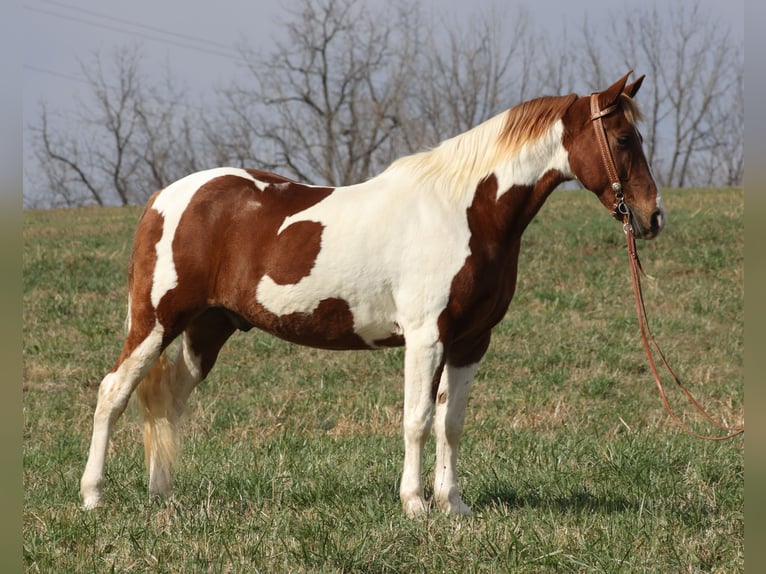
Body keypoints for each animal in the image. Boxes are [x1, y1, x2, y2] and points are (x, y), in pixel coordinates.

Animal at [79, 71, 664, 516]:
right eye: (623, 139)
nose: (652, 216)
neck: (467, 211)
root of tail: (164, 197)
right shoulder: (426, 339)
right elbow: (417, 420)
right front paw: (415, 505)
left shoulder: (471, 341)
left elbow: (451, 423)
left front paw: (453, 506)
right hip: (156, 322)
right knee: (114, 391)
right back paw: (93, 496)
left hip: (206, 330)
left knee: (169, 400)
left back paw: (162, 496)